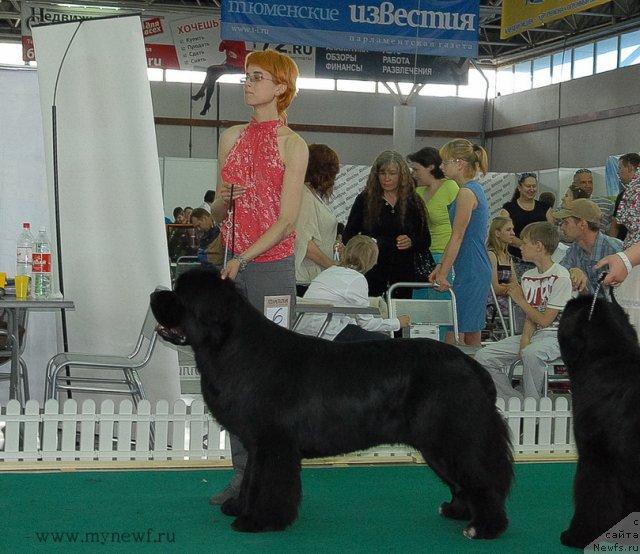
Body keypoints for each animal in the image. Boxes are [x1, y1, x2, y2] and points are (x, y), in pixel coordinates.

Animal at [149, 268, 510, 536]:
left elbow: (268, 484)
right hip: (438, 444)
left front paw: (258, 521)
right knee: (462, 482)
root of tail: (471, 365)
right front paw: (240, 507)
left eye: (179, 294)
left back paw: (485, 527)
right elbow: (251, 478)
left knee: (482, 479)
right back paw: (457, 512)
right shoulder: (257, 443)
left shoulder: (274, 443)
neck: (232, 348)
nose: (154, 294)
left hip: (453, 436)